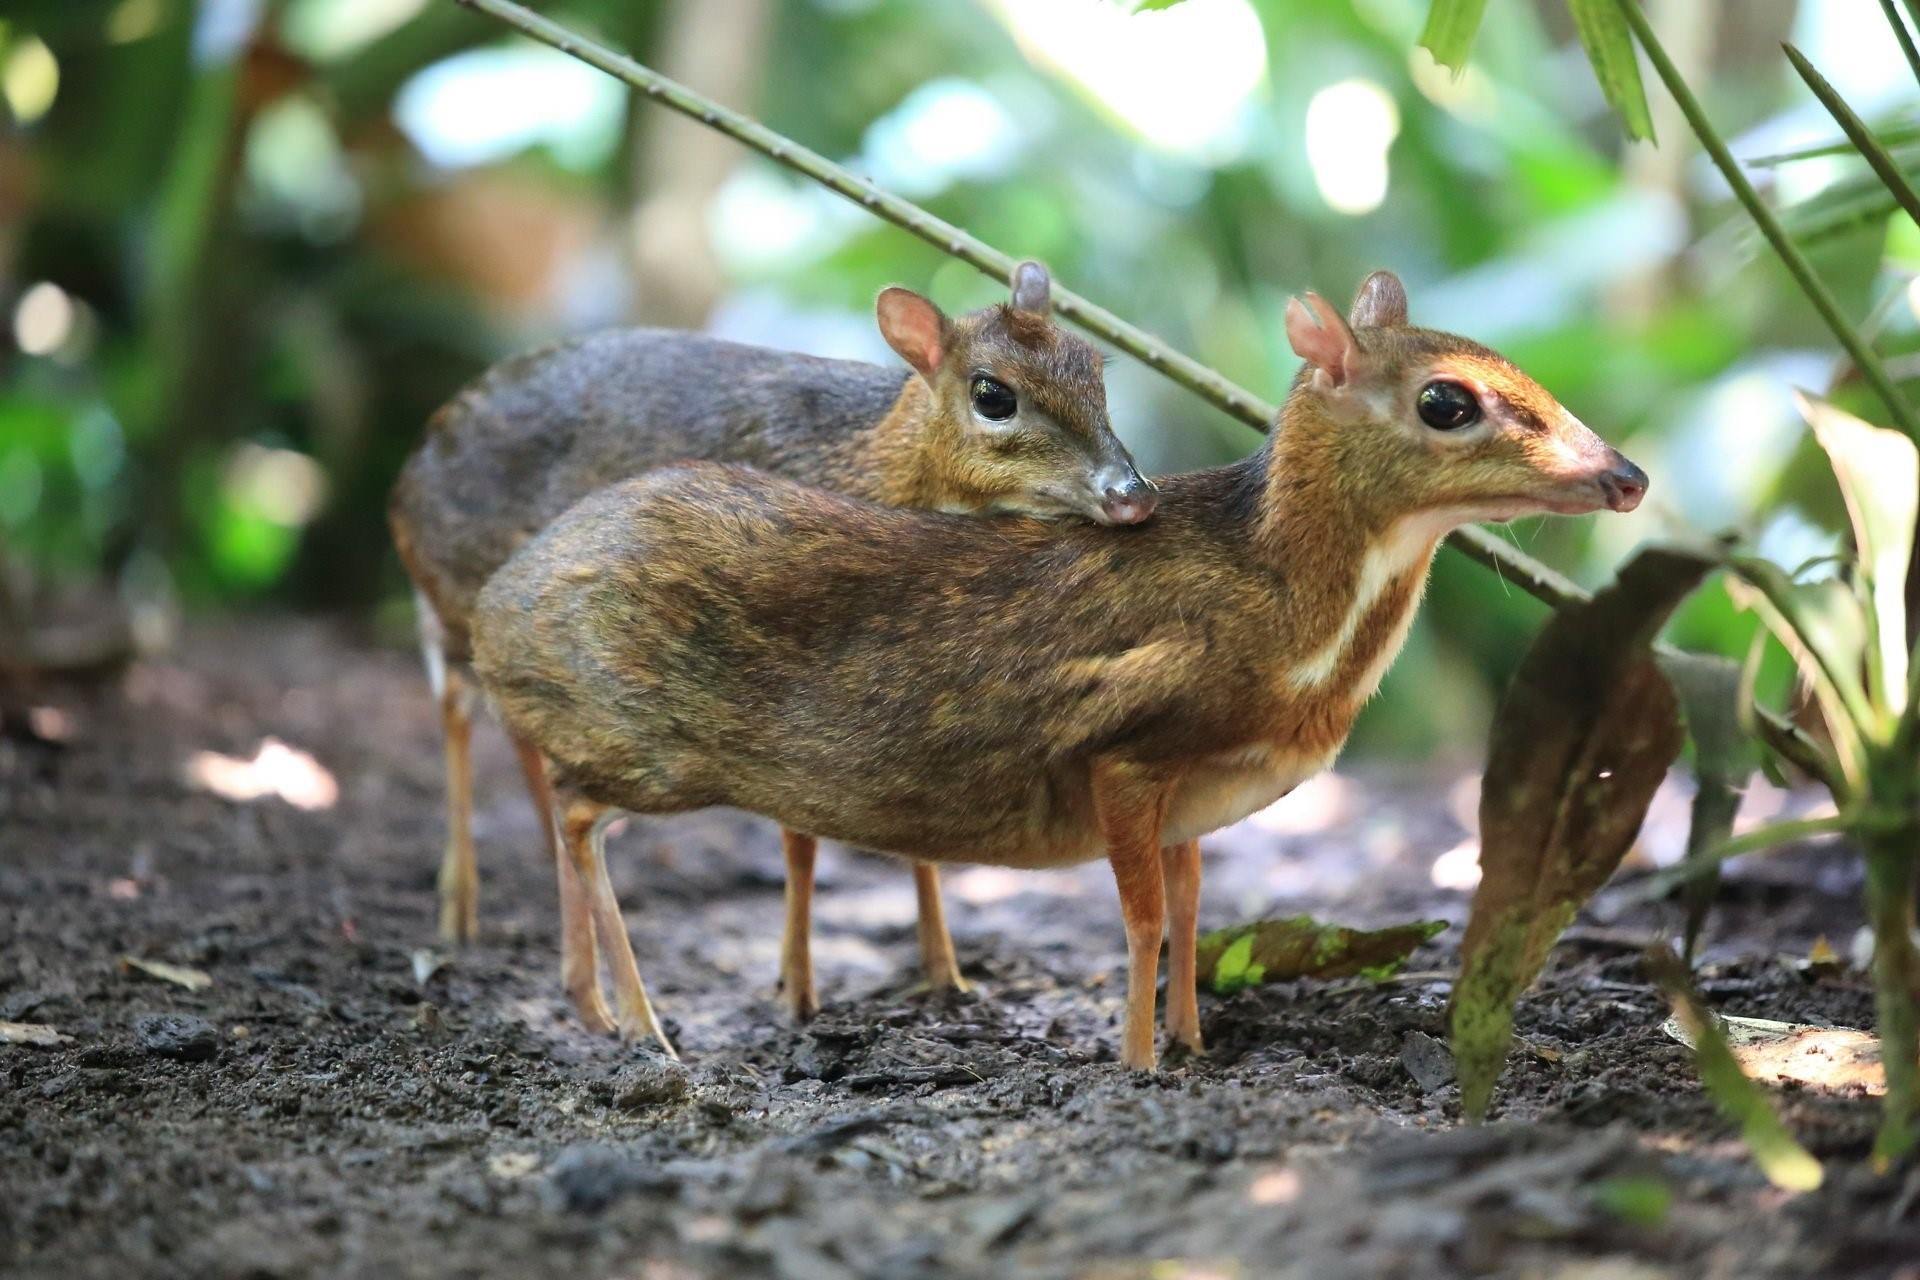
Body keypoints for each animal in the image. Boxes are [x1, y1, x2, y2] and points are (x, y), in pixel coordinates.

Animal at [382, 262, 1144, 1043]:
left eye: (1094, 367)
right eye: (993, 395)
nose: (1131, 493)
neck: (872, 463)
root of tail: (408, 472)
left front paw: (945, 976)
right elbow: (800, 841)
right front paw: (797, 992)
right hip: (469, 603)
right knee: (459, 705)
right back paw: (466, 915)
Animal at [468, 272, 1651, 1074]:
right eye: (1448, 401)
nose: (1629, 474)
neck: (1288, 614)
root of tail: (495, 609)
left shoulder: (1194, 792)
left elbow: (1191, 907)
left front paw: (1193, 1042)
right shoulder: (1122, 752)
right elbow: (1139, 919)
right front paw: (1136, 1061)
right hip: (646, 747)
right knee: (572, 809)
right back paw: (637, 1023)